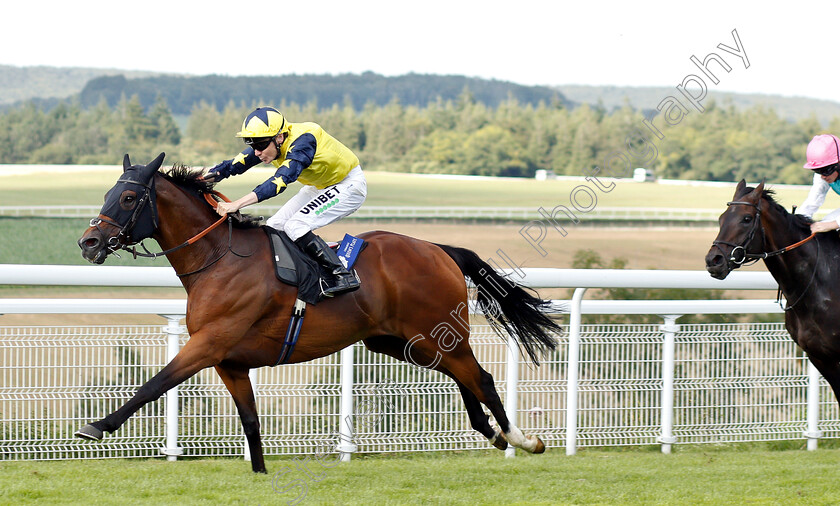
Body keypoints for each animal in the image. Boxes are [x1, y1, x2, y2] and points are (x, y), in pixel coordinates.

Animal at [75, 152, 560, 472]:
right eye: (109, 192)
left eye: (129, 197)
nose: (89, 242)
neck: (219, 258)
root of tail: (438, 248)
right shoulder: (231, 362)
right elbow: (250, 422)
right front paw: (259, 474)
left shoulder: (210, 343)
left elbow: (154, 384)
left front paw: (97, 427)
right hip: (400, 341)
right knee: (463, 377)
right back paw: (493, 432)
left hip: (437, 332)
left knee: (481, 378)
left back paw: (521, 439)